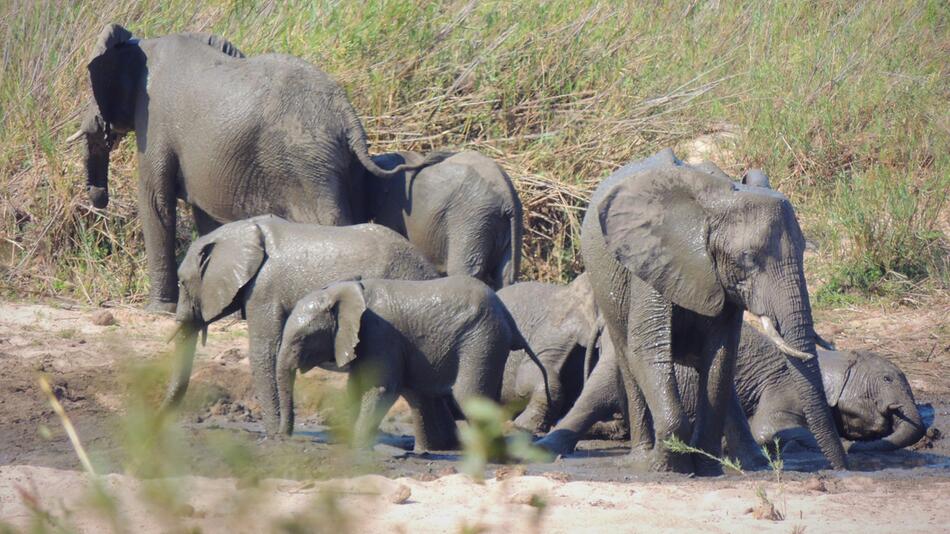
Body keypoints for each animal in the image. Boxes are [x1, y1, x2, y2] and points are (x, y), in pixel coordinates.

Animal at [68, 25, 446, 314]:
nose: (99, 198)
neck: (145, 43)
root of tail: (348, 117)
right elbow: (207, 217)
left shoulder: (155, 121)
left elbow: (156, 203)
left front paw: (158, 312)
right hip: (340, 165)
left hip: (309, 164)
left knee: (330, 222)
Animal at [276, 276, 548, 452]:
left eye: (301, 339)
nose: (283, 438)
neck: (341, 290)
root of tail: (508, 318)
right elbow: (356, 387)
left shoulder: (380, 334)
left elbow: (381, 388)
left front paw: (357, 446)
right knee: (420, 394)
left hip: (482, 338)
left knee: (469, 396)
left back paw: (495, 458)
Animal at [366, 151, 528, 292]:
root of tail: (508, 197)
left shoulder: (393, 207)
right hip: (508, 225)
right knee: (505, 276)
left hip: (473, 219)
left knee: (464, 271)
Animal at [548, 149, 852, 476]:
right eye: (748, 259)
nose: (840, 468)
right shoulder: (651, 259)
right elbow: (647, 348)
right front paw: (667, 467)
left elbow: (720, 355)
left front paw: (706, 467)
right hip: (606, 285)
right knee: (626, 357)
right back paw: (639, 460)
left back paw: (749, 462)